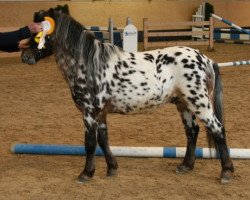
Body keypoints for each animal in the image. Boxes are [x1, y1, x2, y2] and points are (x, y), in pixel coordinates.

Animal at [22, 9, 234, 184]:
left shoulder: (89, 112)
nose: (25, 56)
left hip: (199, 102)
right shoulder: (100, 113)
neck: (89, 65)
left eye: (38, 33)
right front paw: (112, 168)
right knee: (192, 132)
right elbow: (103, 139)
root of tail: (205, 59)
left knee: (217, 129)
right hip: (183, 104)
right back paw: (186, 165)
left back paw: (226, 172)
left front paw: (86, 174)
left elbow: (90, 143)